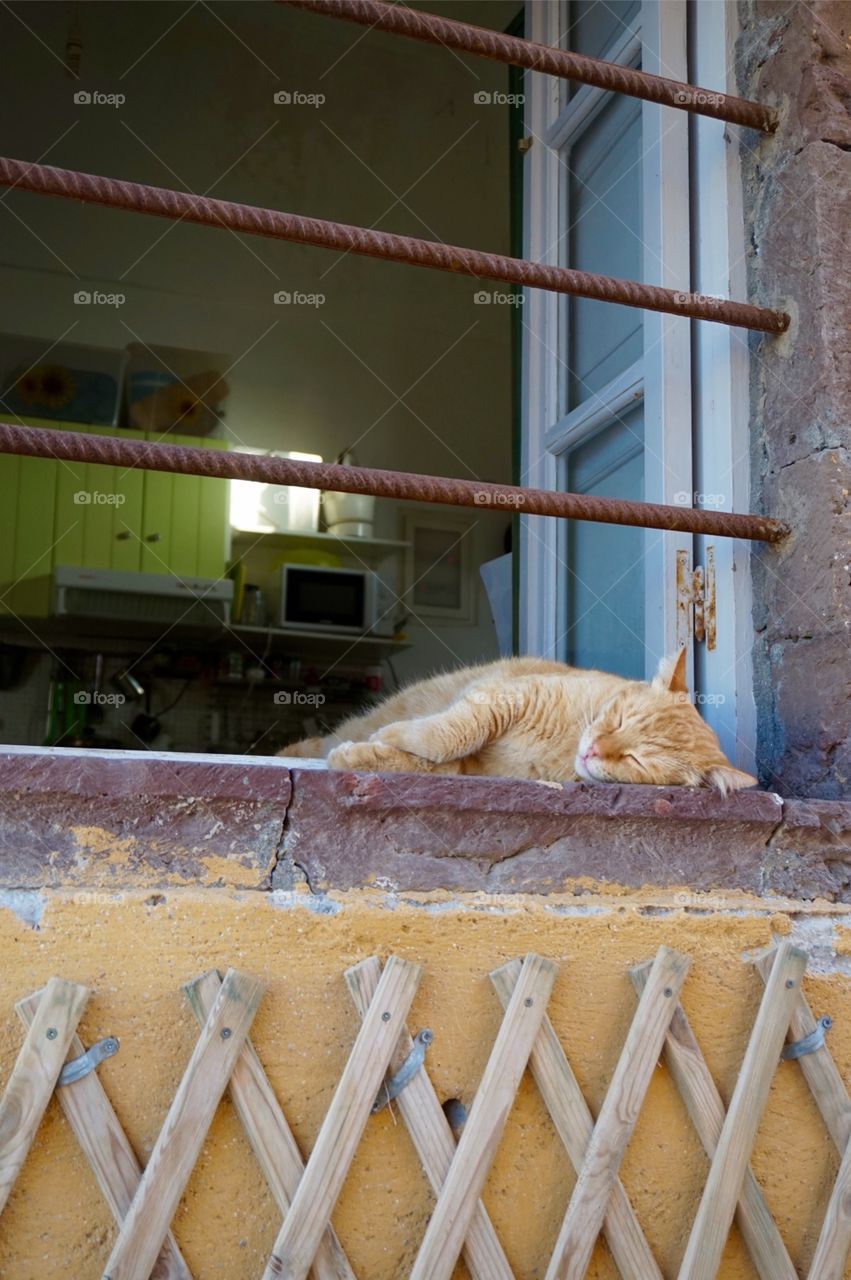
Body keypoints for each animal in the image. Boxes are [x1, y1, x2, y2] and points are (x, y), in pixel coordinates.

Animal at [281, 655, 752, 793]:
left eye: (636, 761)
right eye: (618, 718)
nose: (592, 750)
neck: (566, 742)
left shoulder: (469, 767)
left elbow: (428, 759)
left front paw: (365, 755)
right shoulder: (502, 699)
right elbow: (449, 732)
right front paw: (392, 737)